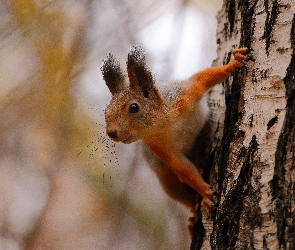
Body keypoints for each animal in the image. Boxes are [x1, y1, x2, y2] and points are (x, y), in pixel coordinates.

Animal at [100, 45, 249, 230]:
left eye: (134, 107)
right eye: (106, 111)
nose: (111, 132)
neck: (164, 124)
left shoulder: (184, 95)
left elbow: (204, 78)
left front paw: (233, 63)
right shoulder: (159, 147)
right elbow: (182, 168)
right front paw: (205, 194)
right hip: (167, 181)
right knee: (184, 197)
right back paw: (193, 218)